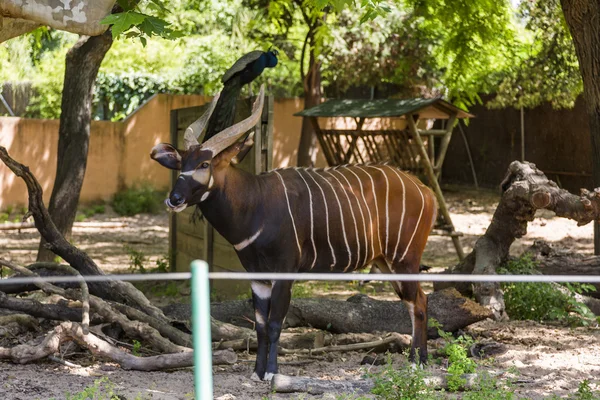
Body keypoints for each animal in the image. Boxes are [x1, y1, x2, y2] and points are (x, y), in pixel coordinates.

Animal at [151, 85, 436, 382]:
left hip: (404, 258)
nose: (174, 199)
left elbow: (276, 323)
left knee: (418, 302)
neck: (256, 203)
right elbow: (260, 325)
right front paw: (256, 372)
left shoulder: (284, 272)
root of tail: (426, 191)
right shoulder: (257, 277)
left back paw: (416, 363)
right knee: (418, 299)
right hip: (386, 262)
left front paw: (271, 373)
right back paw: (419, 360)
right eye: (182, 162)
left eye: (205, 164)